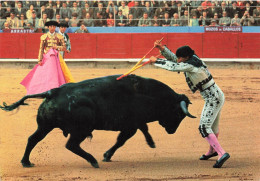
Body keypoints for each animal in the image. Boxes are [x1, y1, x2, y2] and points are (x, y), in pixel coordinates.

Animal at [0, 74, 195, 168]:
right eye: (179, 114)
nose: (171, 131)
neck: (147, 93)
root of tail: (52, 92)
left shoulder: (134, 123)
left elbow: (143, 129)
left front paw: (151, 142)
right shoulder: (130, 125)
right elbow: (122, 140)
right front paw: (106, 155)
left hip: (45, 125)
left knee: (33, 139)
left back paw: (26, 162)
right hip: (81, 129)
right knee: (71, 145)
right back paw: (93, 161)